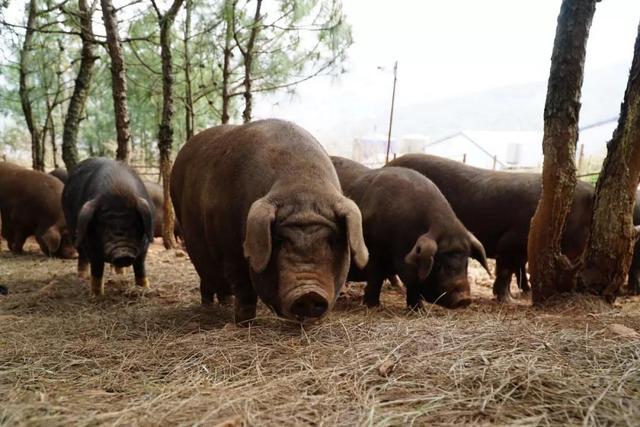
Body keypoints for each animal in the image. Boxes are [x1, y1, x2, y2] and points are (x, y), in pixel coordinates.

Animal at [61, 158, 155, 298]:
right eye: (103, 225)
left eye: (135, 223)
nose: (123, 253)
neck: (117, 188)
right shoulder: (91, 245)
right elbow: (97, 268)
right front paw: (96, 295)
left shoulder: (144, 244)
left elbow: (140, 265)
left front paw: (144, 288)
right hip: (73, 233)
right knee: (82, 255)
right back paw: (82, 276)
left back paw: (120, 274)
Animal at [171, 118, 370, 326]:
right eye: (279, 241)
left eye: (332, 241)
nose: (309, 294)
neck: (301, 181)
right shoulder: (232, 251)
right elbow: (245, 291)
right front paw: (244, 323)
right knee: (207, 280)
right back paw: (208, 307)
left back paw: (225, 304)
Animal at [332, 156, 488, 308]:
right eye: (439, 264)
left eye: (466, 263)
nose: (464, 299)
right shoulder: (374, 251)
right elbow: (376, 278)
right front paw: (372, 306)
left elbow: (413, 288)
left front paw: (419, 310)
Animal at [390, 154, 596, 304]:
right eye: (586, 225)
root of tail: (387, 166)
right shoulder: (510, 242)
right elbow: (506, 270)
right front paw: (509, 301)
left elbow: (516, 269)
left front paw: (518, 295)